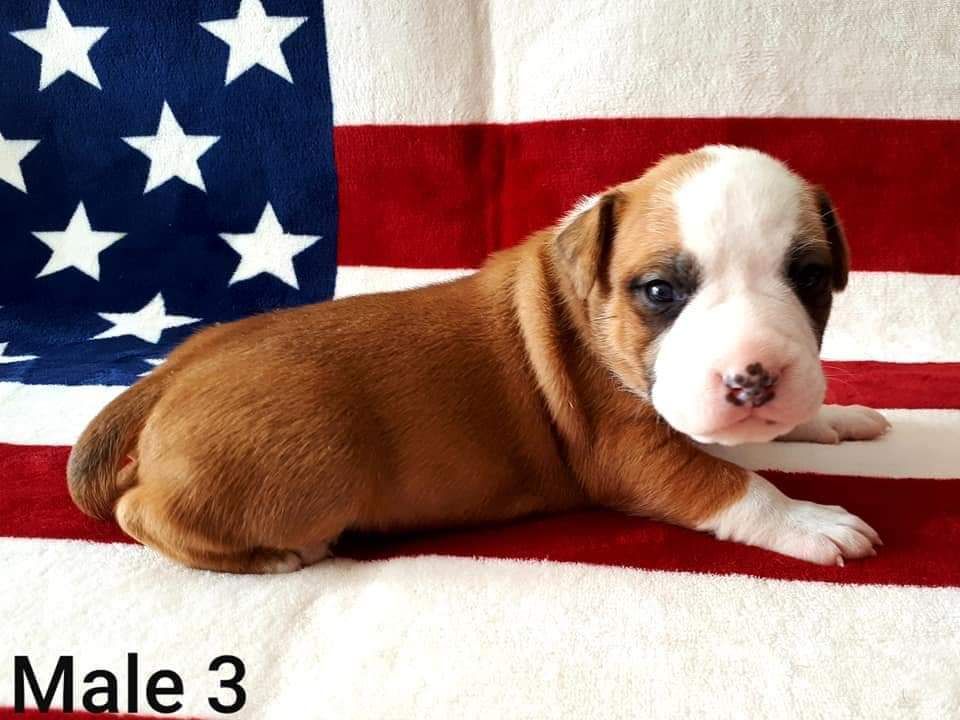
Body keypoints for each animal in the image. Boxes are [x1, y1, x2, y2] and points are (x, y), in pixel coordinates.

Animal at [68, 145, 889, 573]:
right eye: (660, 291)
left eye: (809, 278)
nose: (754, 376)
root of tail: (166, 375)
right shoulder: (632, 451)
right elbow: (732, 483)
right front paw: (808, 518)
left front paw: (835, 417)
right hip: (301, 473)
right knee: (144, 511)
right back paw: (269, 556)